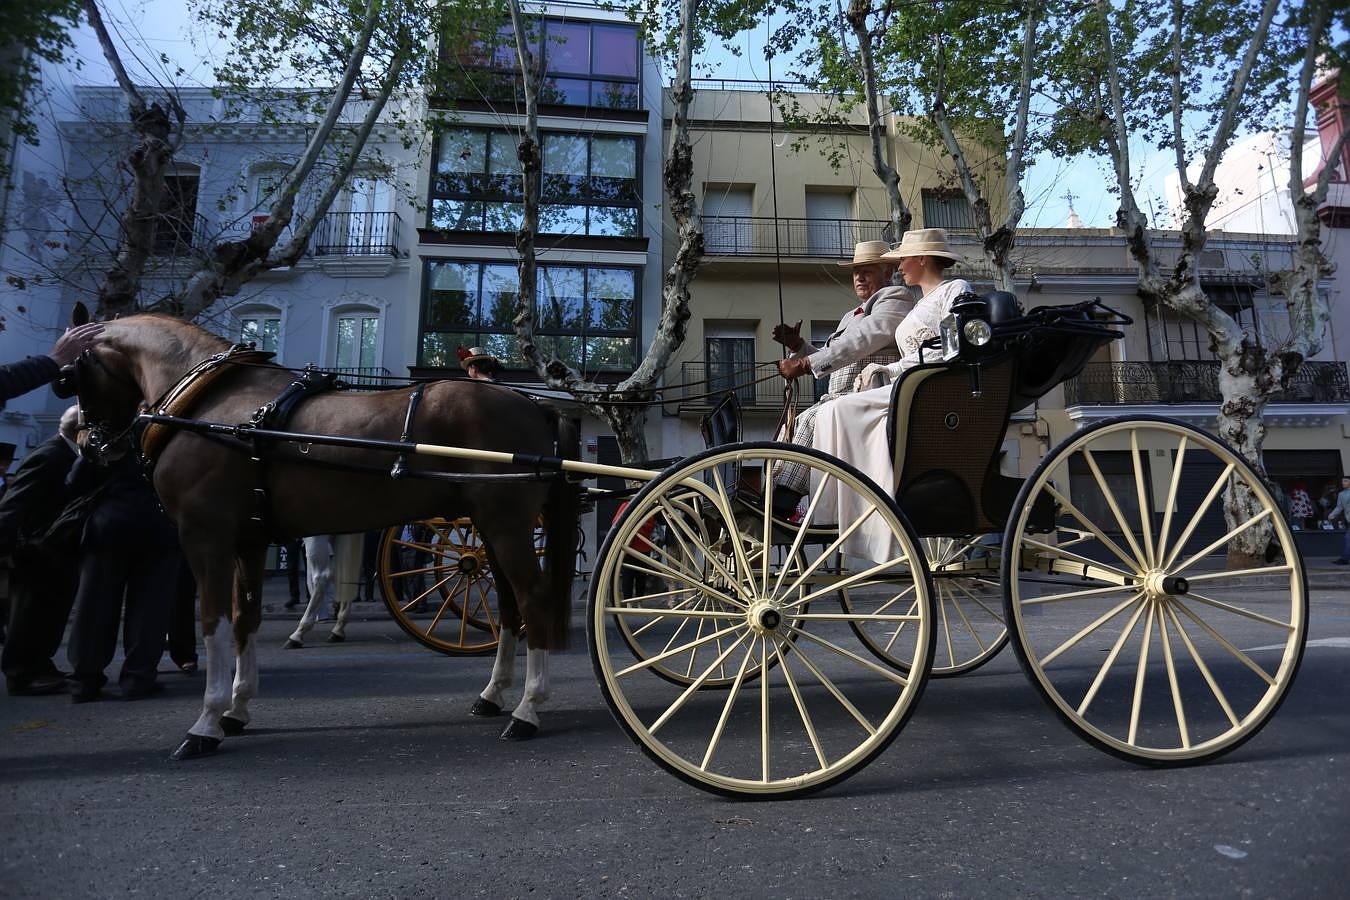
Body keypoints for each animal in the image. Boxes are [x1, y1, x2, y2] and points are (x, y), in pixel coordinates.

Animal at [58, 307, 577, 761]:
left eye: (69, 376)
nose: (86, 442)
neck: (206, 403)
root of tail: (535, 405)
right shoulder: (249, 541)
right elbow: (244, 618)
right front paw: (237, 708)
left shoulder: (205, 537)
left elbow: (213, 621)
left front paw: (205, 722)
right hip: (490, 528)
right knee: (508, 604)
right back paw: (493, 694)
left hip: (505, 523)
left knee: (532, 599)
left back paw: (528, 709)